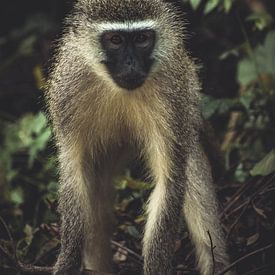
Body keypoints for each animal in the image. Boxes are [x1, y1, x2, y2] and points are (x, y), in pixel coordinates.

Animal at [46, 0, 232, 275]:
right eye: (115, 40)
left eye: (142, 39)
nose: (131, 64)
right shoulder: (67, 96)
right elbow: (75, 176)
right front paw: (67, 262)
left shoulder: (173, 99)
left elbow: (170, 180)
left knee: (191, 165)